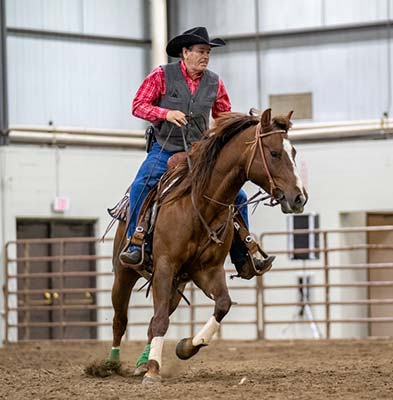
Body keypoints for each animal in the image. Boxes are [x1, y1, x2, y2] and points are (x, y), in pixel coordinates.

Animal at [106, 108, 306, 384]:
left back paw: (143, 362)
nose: (299, 197)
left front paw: (188, 345)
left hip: (176, 285)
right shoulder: (165, 266)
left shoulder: (207, 271)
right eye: (275, 153)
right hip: (124, 273)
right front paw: (154, 370)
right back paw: (111, 364)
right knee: (120, 319)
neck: (200, 204)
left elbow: (222, 304)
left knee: (155, 317)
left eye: (294, 152)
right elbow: (159, 321)